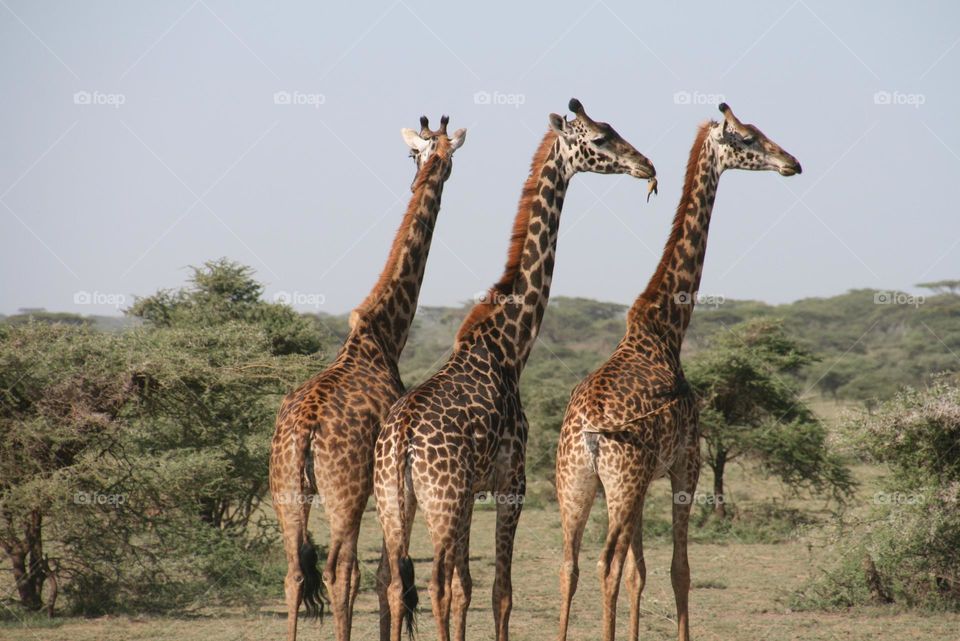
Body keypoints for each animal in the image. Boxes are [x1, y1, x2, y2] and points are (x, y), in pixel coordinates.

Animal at [269, 115, 466, 641]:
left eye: (420, 153)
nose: (432, 171)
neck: (383, 335)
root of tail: (305, 431)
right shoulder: (388, 489)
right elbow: (385, 575)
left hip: (284, 490)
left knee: (293, 572)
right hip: (345, 494)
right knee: (342, 571)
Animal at [373, 98, 657, 641]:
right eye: (600, 137)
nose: (647, 166)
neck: (510, 345)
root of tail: (400, 441)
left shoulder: (474, 493)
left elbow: (467, 587)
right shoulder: (512, 482)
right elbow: (498, 591)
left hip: (396, 504)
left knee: (397, 583)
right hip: (441, 502)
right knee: (433, 584)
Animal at [554, 103, 802, 641]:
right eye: (748, 138)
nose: (792, 162)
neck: (667, 328)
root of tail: (588, 433)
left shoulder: (648, 477)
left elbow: (641, 572)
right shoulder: (686, 464)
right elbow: (678, 569)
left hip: (576, 484)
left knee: (571, 565)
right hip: (620, 481)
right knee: (605, 564)